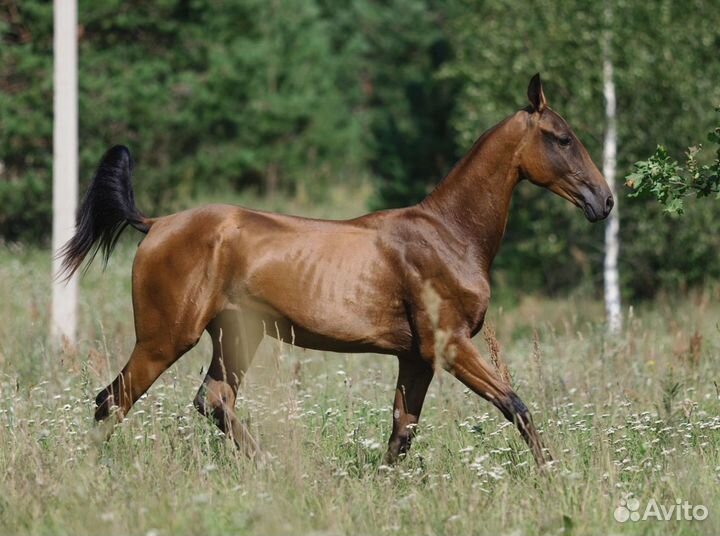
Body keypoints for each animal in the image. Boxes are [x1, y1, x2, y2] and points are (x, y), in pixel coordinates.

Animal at [60, 73, 612, 466]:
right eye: (562, 138)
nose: (603, 201)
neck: (449, 235)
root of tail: (155, 224)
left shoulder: (415, 358)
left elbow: (402, 433)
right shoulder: (450, 345)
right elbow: (515, 404)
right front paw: (553, 474)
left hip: (236, 335)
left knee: (211, 400)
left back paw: (270, 469)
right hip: (165, 338)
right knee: (112, 399)